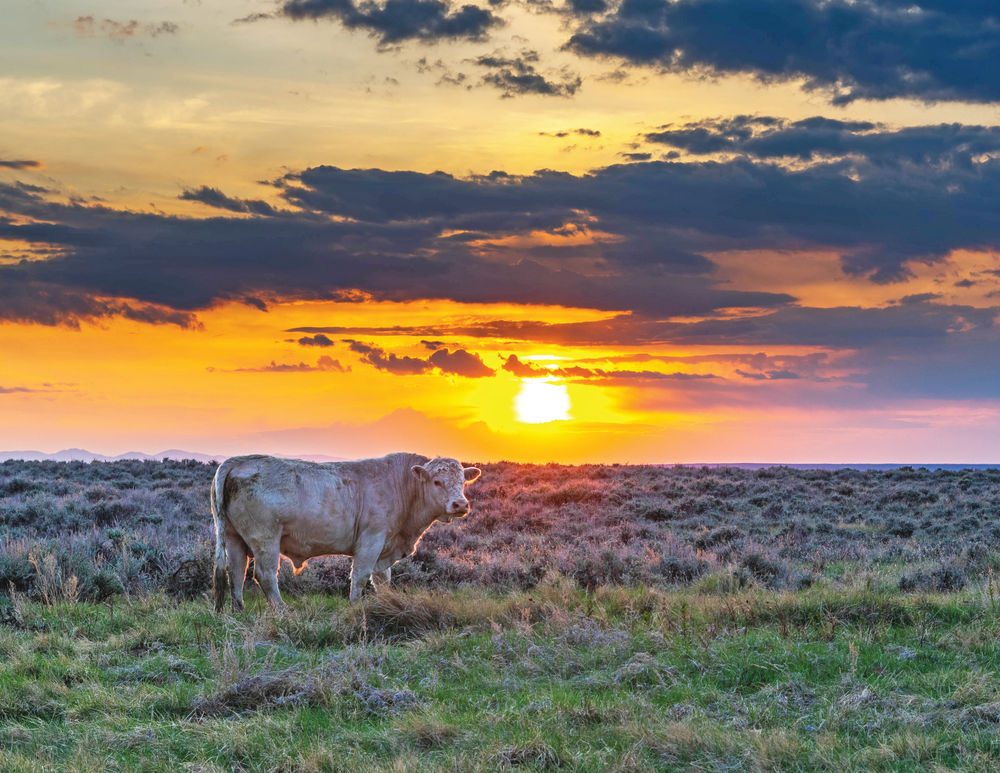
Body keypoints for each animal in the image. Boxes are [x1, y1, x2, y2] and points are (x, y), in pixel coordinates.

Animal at [209, 452, 482, 608]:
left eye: (462, 482)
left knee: (236, 573)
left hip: (234, 538)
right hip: (265, 539)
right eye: (437, 482)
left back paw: (238, 611)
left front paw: (387, 604)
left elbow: (382, 579)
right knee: (264, 575)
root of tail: (240, 460)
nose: (460, 504)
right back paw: (282, 611)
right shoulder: (371, 539)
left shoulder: (385, 547)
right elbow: (360, 576)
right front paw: (355, 607)